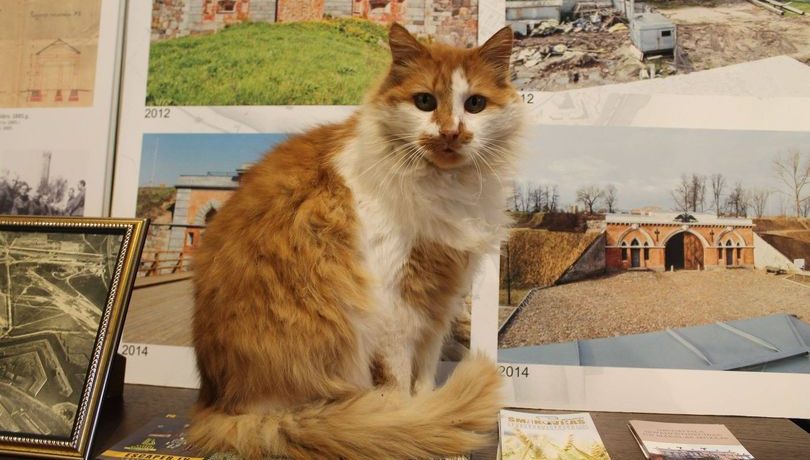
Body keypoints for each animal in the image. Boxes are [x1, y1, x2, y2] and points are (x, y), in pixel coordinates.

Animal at [191, 25, 524, 460]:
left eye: (475, 104)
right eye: (424, 101)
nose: (451, 132)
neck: (445, 188)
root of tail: (215, 402)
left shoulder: (439, 302)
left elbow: (426, 373)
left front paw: (430, 411)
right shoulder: (394, 305)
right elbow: (400, 380)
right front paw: (413, 421)